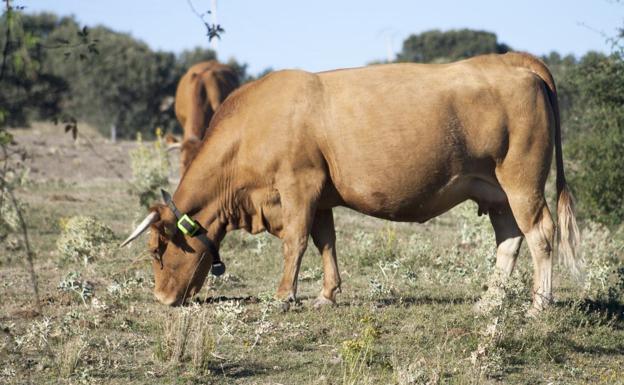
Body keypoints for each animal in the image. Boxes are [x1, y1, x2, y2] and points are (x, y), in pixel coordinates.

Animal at [120, 51, 580, 312]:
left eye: (157, 250)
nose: (161, 299)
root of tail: (512, 62)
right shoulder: (320, 195)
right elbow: (326, 241)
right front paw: (326, 294)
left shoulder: (298, 185)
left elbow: (296, 241)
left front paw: (285, 295)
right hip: (494, 189)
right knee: (509, 239)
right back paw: (489, 301)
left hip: (521, 181)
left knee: (540, 233)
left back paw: (539, 305)